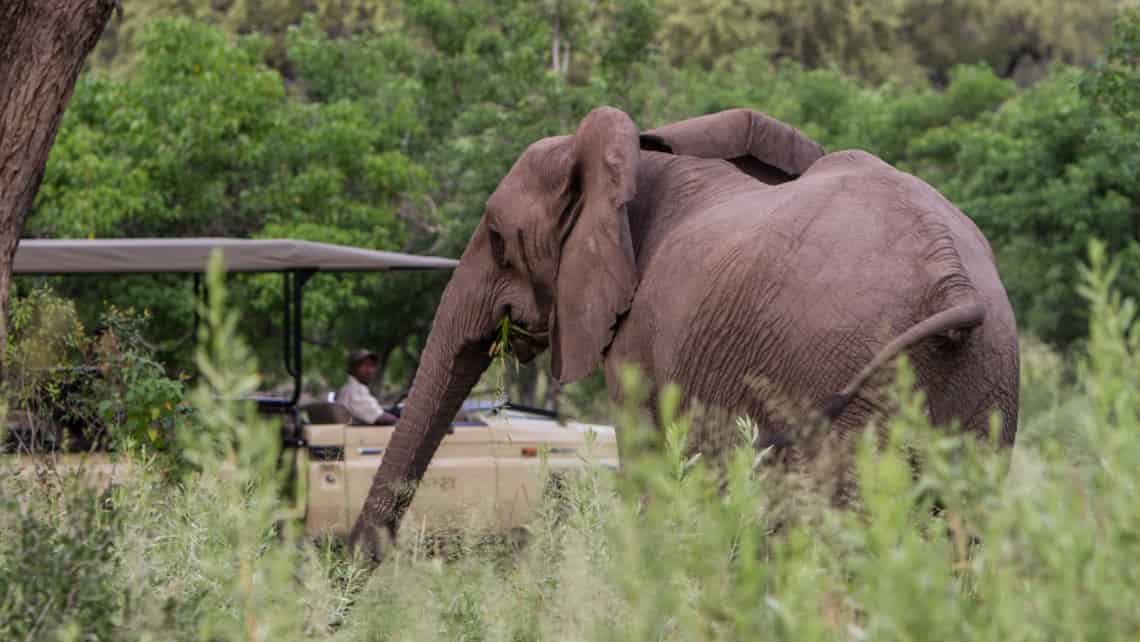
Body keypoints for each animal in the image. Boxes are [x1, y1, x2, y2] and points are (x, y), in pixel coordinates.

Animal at [348, 105, 1026, 558]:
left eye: (494, 238)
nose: (353, 575)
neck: (633, 162)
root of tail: (951, 277)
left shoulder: (636, 339)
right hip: (981, 380)